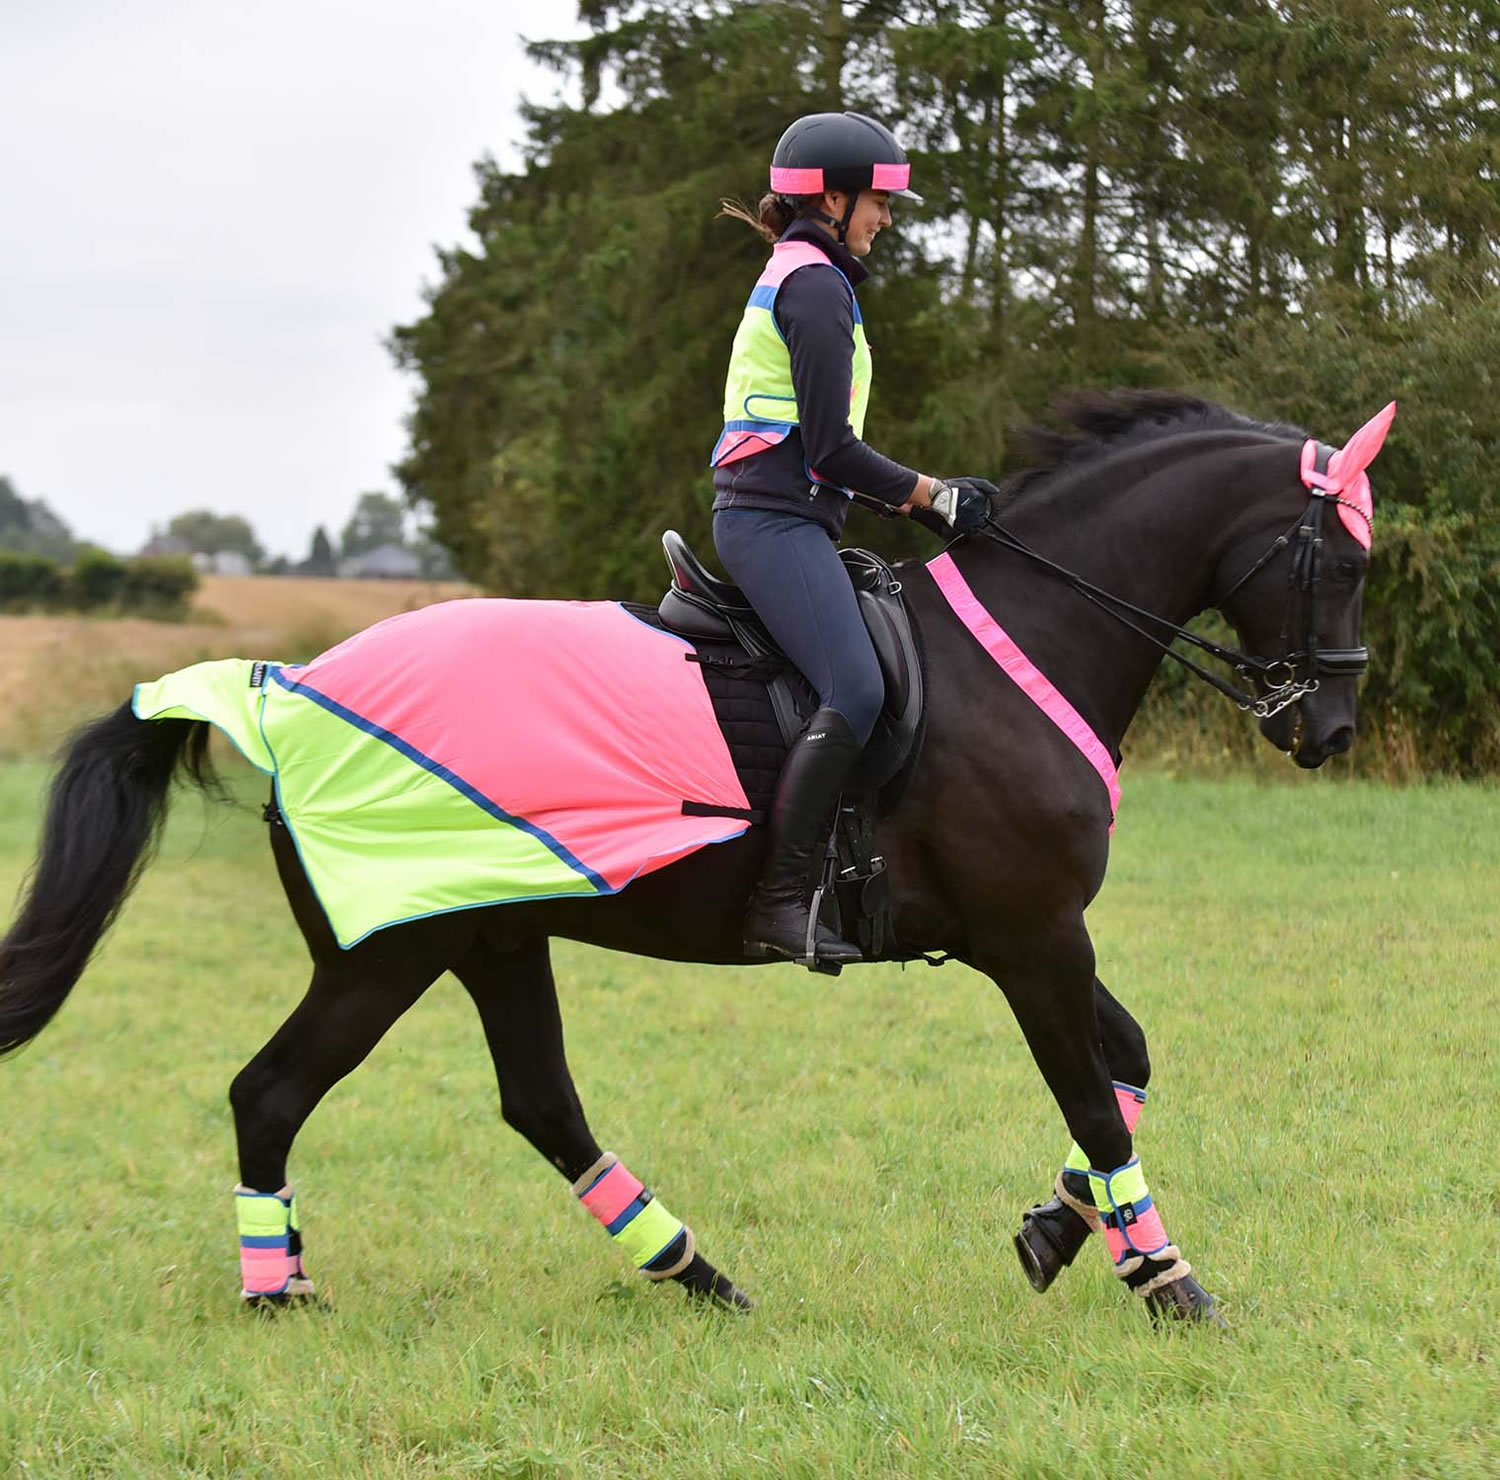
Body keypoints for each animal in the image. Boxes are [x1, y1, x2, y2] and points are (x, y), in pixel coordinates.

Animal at [0, 389, 1392, 1319]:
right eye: (1340, 557)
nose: (1325, 727)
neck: (1024, 643)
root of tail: (282, 689)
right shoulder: (1031, 935)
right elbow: (1095, 1092)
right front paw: (1165, 1275)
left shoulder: (1028, 935)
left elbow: (1125, 1063)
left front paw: (1058, 1232)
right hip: (384, 952)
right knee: (271, 1093)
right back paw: (277, 1293)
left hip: (492, 934)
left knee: (539, 1102)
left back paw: (693, 1271)